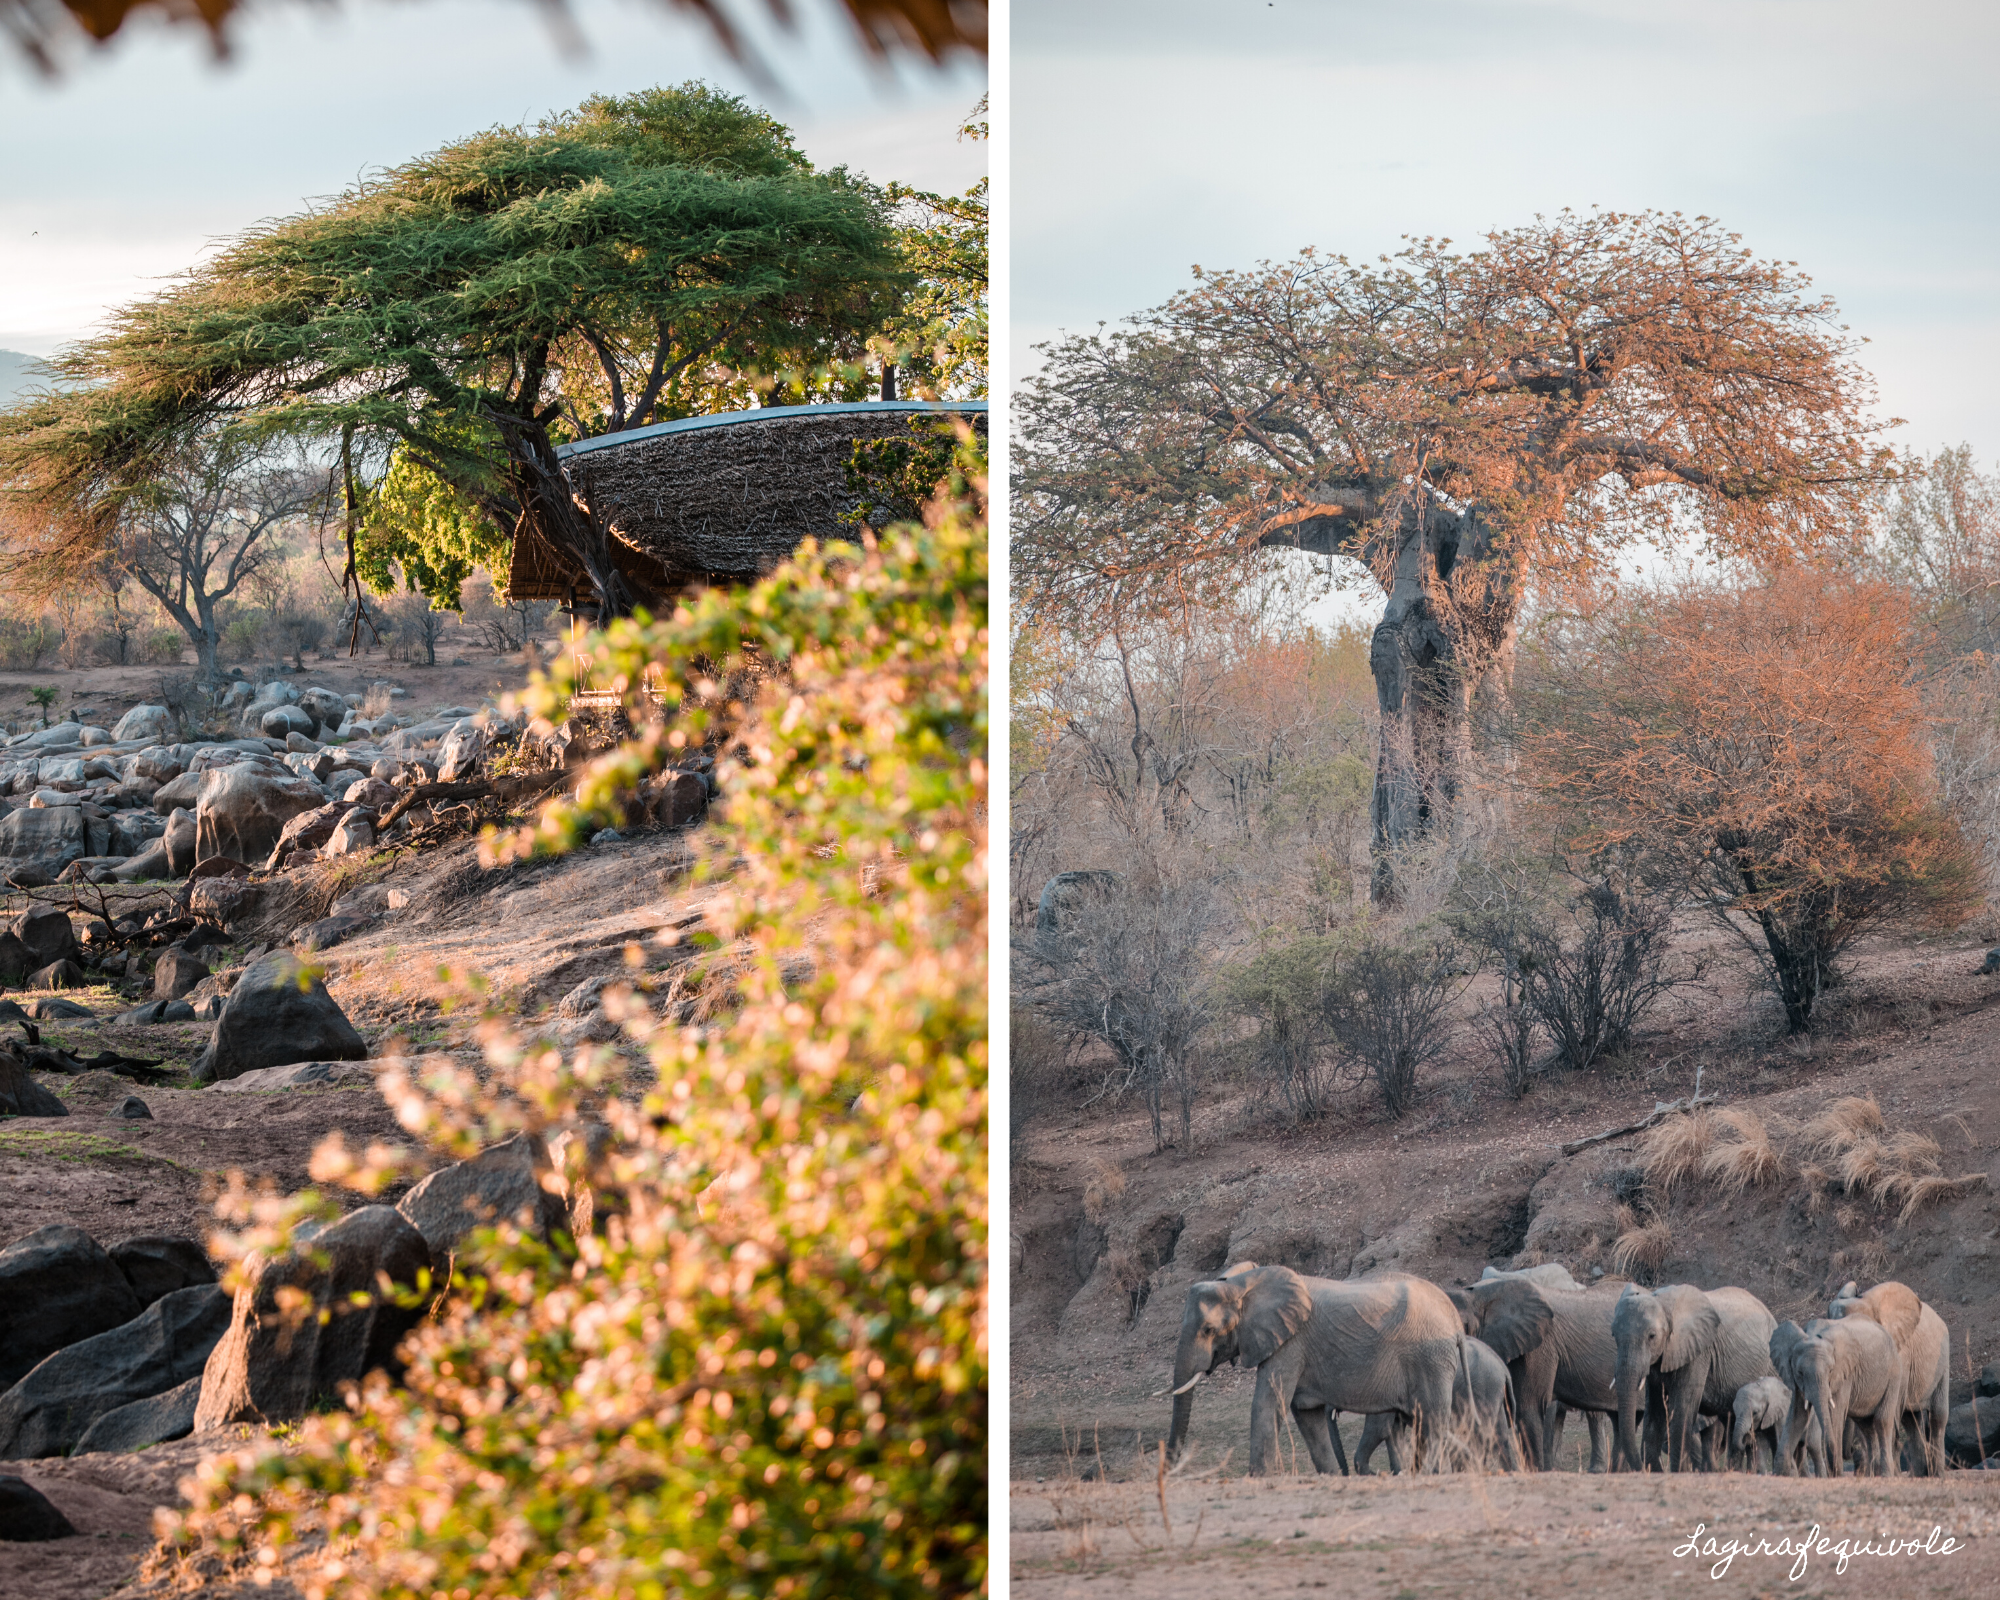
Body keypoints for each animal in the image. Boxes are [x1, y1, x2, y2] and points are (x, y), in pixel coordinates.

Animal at [1168, 1264, 1464, 1472]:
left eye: (1208, 1330)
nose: (1170, 1463)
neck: (1245, 1283)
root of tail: (1454, 1317)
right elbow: (1307, 1415)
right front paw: (1332, 1476)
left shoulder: (1290, 1342)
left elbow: (1267, 1404)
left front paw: (1259, 1478)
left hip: (1431, 1359)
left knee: (1431, 1421)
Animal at [1608, 1272, 1784, 1472]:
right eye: (1613, 1335)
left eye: (1652, 1336)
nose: (1643, 1469)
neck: (1663, 1302)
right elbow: (1654, 1411)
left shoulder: (1699, 1351)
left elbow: (1683, 1409)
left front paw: (1679, 1472)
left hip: (1771, 1367)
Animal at [1776, 1320, 1896, 1480]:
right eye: (1800, 1372)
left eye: (1831, 1370)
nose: (1836, 1472)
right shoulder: (1795, 1381)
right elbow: (1798, 1415)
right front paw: (1780, 1473)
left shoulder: (1844, 1373)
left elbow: (1835, 1413)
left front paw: (1836, 1475)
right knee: (1867, 1427)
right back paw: (1871, 1476)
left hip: (1894, 1373)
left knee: (1882, 1421)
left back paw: (1885, 1475)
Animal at [1832, 1280, 1952, 1480]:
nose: (1850, 1453)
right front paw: (1875, 1475)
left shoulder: (1900, 1353)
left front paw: (1889, 1475)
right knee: (1911, 1421)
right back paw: (1917, 1476)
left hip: (1942, 1361)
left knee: (1938, 1416)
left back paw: (1937, 1475)